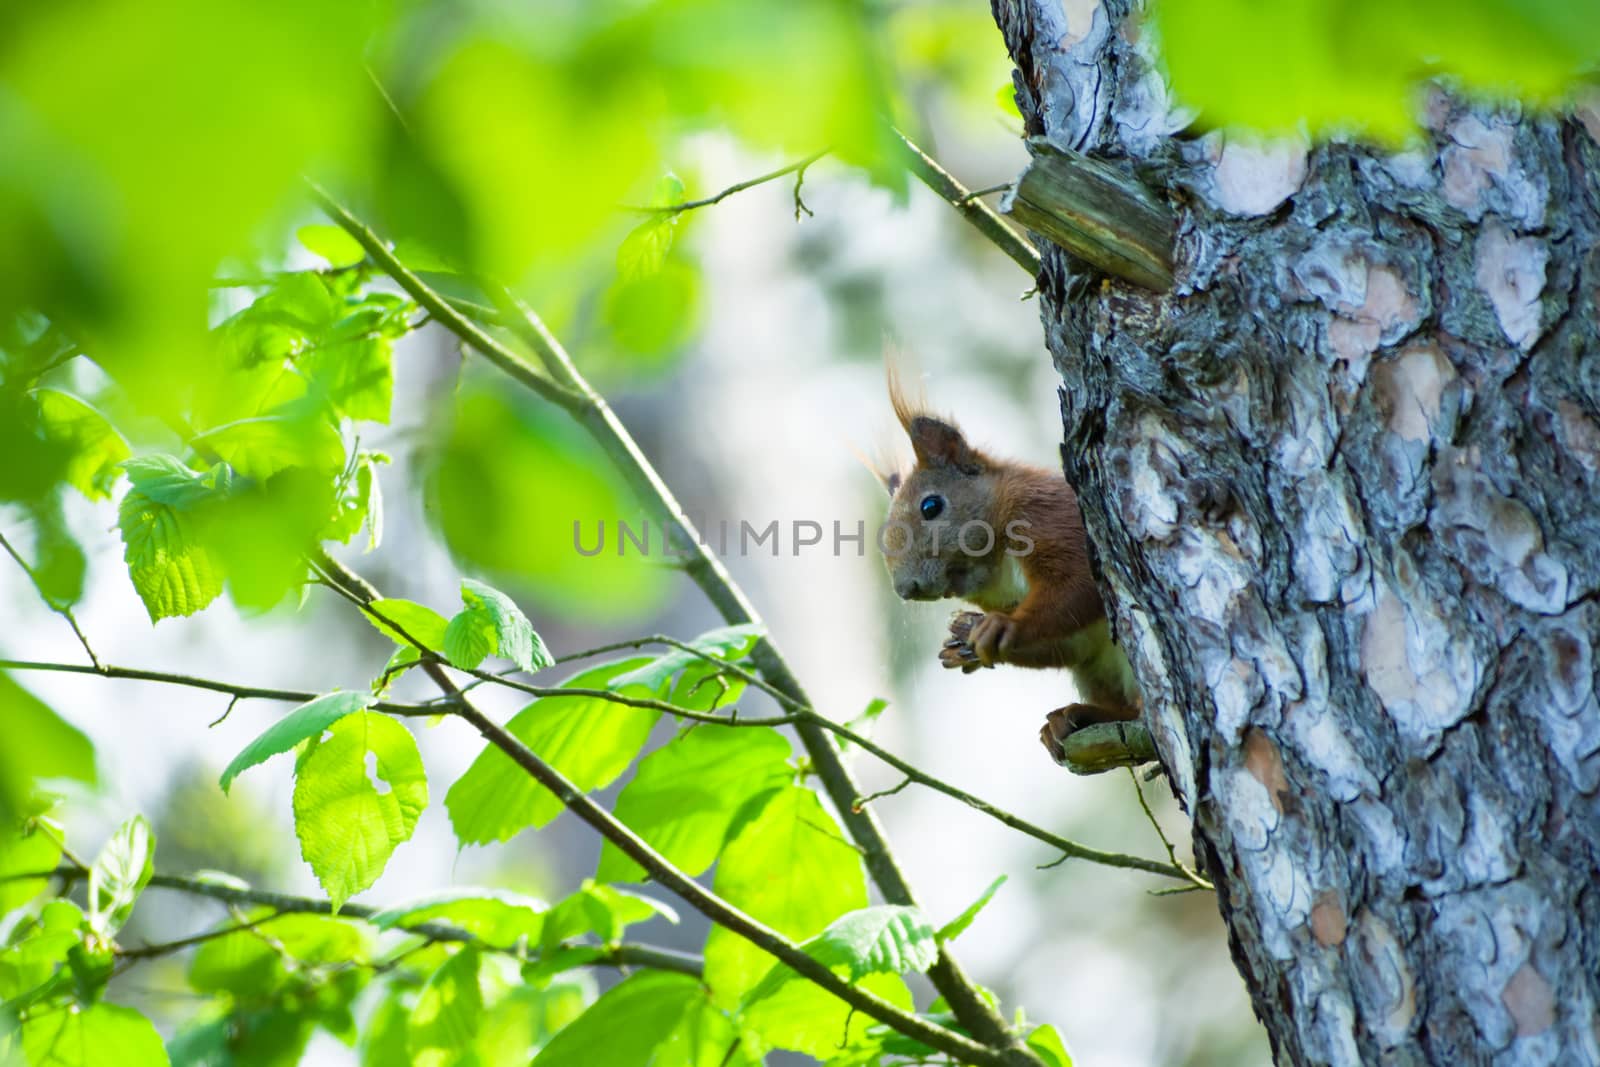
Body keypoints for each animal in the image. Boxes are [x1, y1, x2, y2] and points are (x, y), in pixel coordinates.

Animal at [883, 371, 1145, 764]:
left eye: (931, 506)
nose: (906, 589)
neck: (996, 566)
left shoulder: (1052, 521)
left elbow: (1079, 586)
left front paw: (1005, 626)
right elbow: (1067, 641)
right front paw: (961, 642)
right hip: (1098, 670)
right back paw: (1078, 717)